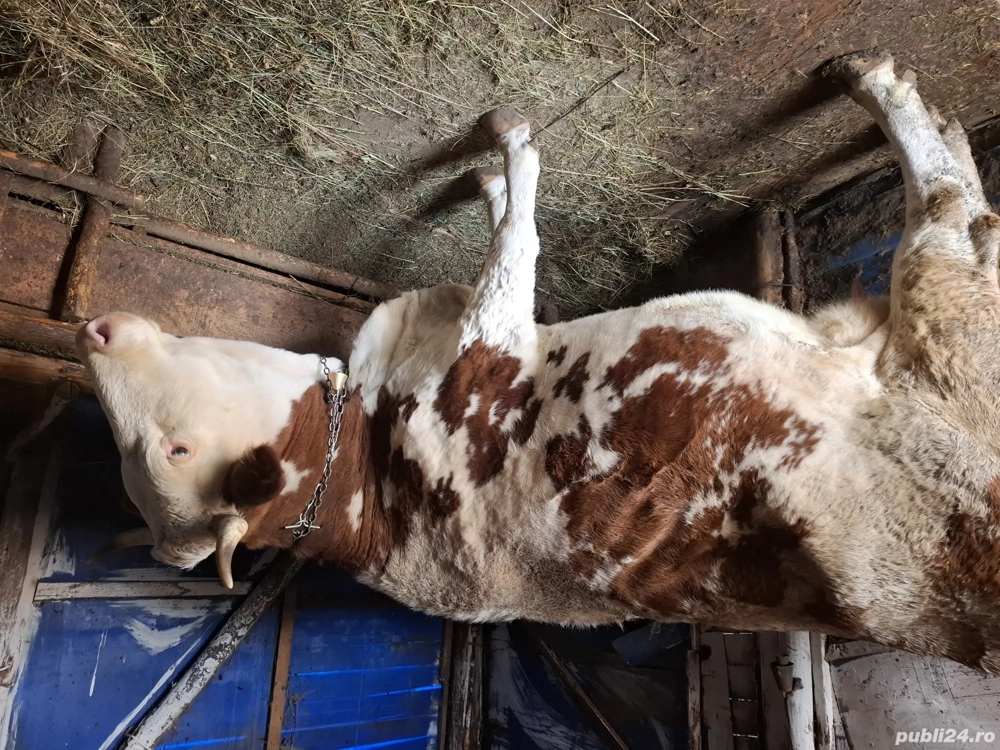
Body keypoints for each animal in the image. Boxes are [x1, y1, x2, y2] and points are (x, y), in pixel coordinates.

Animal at [76, 50, 1000, 672]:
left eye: (170, 450)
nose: (91, 330)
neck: (371, 468)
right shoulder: (492, 332)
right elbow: (518, 232)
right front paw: (508, 147)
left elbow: (503, 228)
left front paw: (480, 178)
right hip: (944, 309)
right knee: (953, 206)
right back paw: (878, 84)